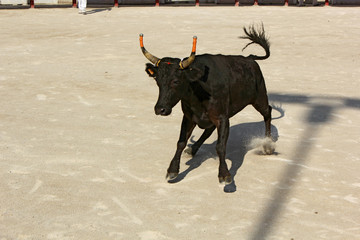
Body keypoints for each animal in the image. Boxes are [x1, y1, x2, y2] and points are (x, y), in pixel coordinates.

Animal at [139, 24, 274, 184]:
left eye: (176, 81)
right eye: (157, 81)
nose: (160, 109)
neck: (198, 90)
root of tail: (250, 59)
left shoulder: (222, 118)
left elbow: (220, 146)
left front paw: (224, 175)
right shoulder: (189, 117)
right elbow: (181, 142)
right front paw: (172, 170)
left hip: (259, 98)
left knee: (267, 112)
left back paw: (268, 144)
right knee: (208, 130)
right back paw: (192, 149)